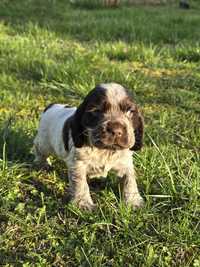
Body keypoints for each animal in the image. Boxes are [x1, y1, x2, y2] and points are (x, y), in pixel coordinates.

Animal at [34, 82, 144, 210]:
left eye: (130, 111)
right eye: (96, 111)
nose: (116, 130)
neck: (105, 150)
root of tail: (52, 106)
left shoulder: (125, 162)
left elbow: (129, 181)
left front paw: (133, 201)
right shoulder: (78, 164)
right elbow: (81, 184)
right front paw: (83, 204)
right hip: (45, 143)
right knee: (38, 148)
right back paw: (42, 163)